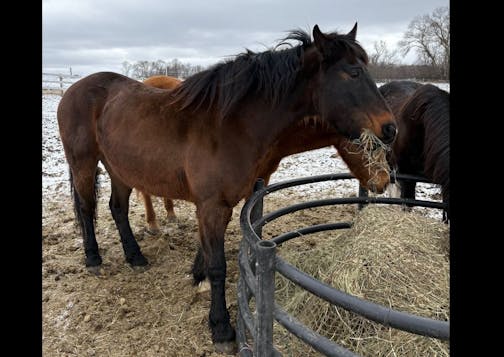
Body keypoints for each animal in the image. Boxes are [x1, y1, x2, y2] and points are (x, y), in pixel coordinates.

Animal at [140, 74, 392, 234]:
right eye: (371, 146)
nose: (385, 181)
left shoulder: (262, 177)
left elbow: (253, 214)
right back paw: (153, 225)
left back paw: (171, 215)